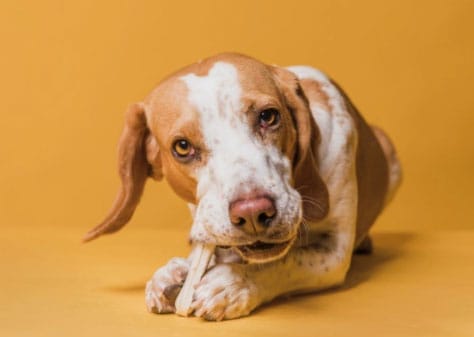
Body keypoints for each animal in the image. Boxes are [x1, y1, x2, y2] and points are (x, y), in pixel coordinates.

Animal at [84, 53, 400, 320]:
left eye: (268, 116)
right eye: (182, 147)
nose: (253, 213)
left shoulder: (334, 252)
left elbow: (286, 262)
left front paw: (235, 283)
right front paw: (175, 272)